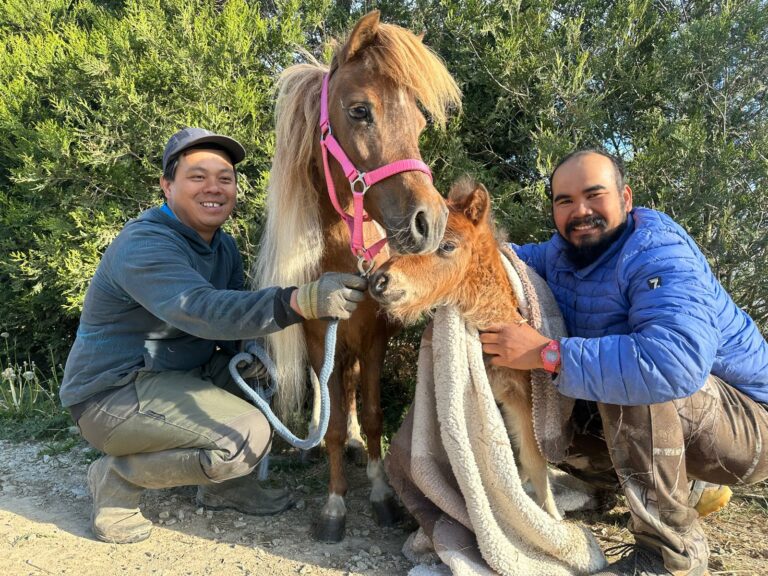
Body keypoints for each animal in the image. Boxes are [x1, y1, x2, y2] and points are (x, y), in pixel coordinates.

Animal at [254, 11, 461, 542]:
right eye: (360, 111)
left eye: (419, 120)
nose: (430, 221)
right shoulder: (316, 334)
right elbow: (328, 420)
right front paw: (334, 504)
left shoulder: (373, 337)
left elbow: (371, 415)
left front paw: (382, 492)